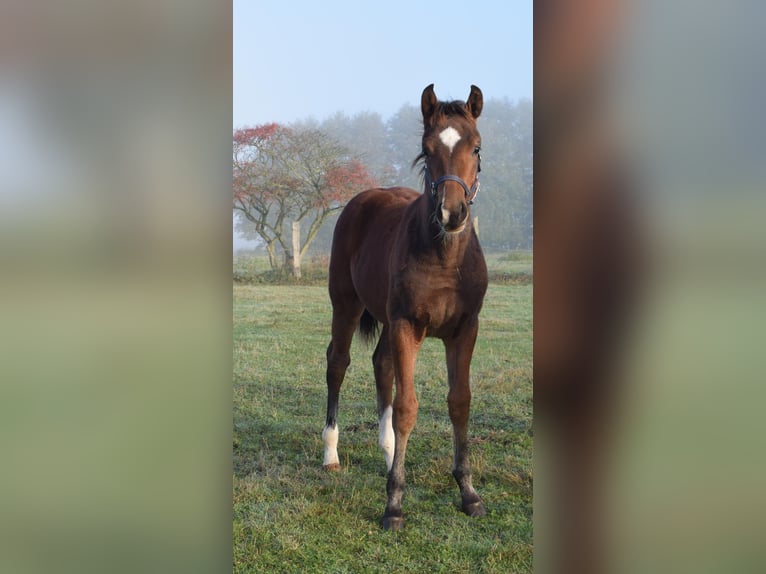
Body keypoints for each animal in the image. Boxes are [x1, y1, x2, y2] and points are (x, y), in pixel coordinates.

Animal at [320, 84, 488, 532]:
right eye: (427, 149)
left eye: (476, 148)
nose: (452, 213)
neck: (444, 258)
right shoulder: (407, 325)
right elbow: (408, 407)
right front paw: (394, 504)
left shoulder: (465, 328)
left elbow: (459, 401)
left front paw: (468, 493)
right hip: (346, 304)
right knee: (338, 363)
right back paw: (331, 454)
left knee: (381, 364)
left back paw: (388, 452)